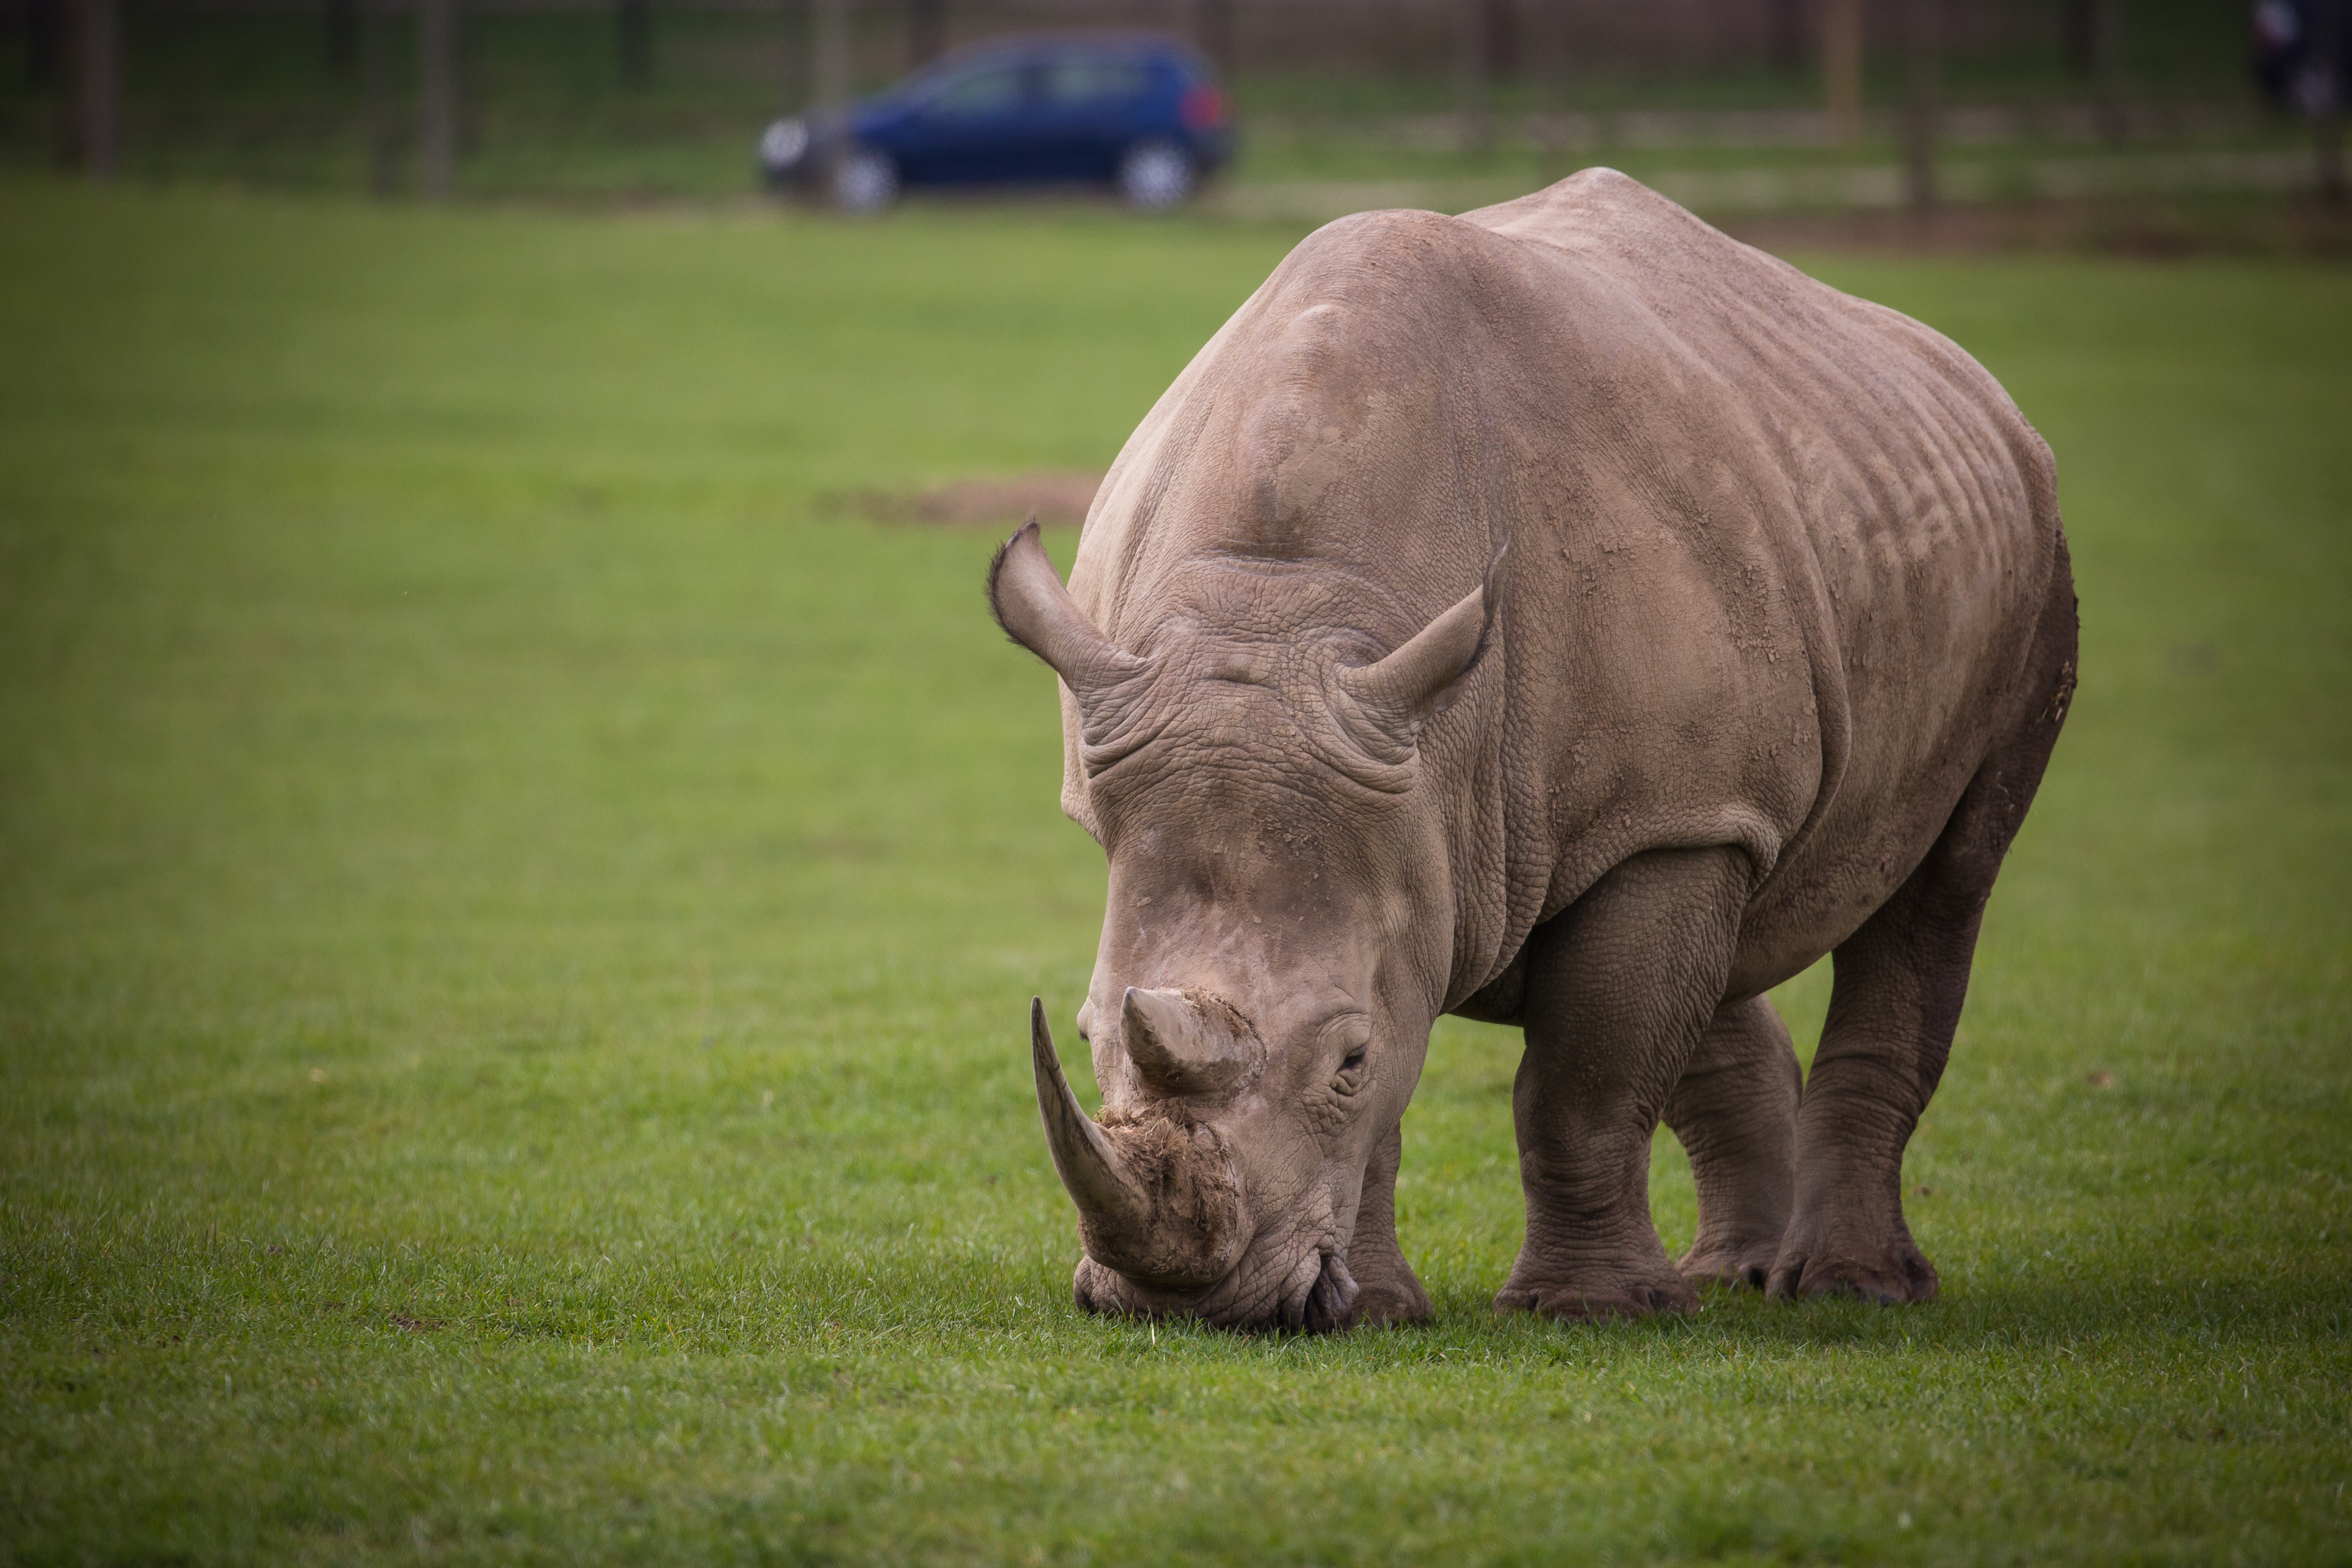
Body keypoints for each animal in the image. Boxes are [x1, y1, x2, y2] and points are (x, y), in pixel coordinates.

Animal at [992, 171, 2079, 1335]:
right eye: (1084, 1032)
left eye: (1346, 1057)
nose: (1187, 1304)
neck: (1284, 614)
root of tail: (1969, 381)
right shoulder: (1436, 811)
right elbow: (1434, 1075)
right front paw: (1381, 1310)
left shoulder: (1651, 816)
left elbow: (1579, 1079)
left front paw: (1588, 1308)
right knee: (1725, 928)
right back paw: (1729, 1277)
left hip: (2030, 558)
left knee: (1943, 884)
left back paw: (1847, 1288)